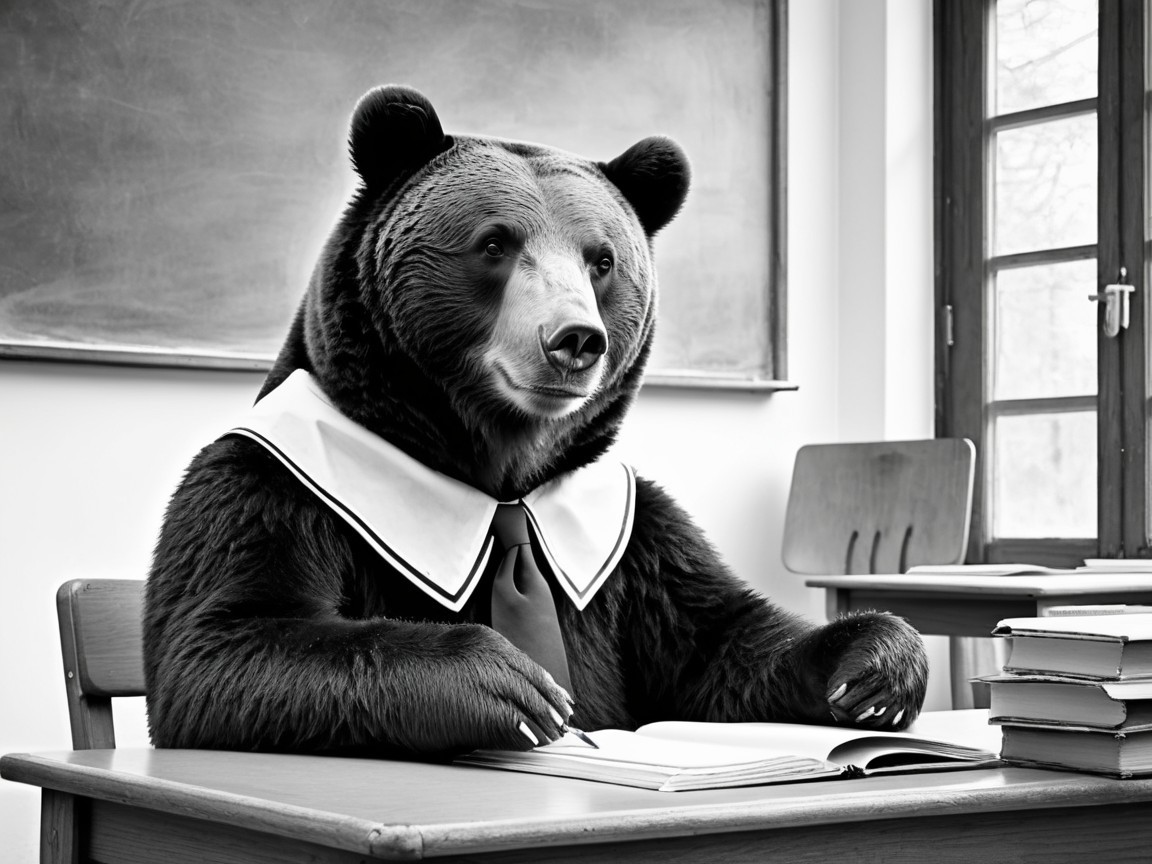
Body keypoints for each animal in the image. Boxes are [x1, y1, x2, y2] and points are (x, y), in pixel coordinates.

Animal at [143, 84, 928, 756]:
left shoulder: (630, 535)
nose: (575, 340)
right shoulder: (277, 488)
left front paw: (877, 667)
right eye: (495, 243)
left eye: (602, 260)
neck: (502, 477)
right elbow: (225, 640)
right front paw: (514, 683)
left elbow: (720, 639)